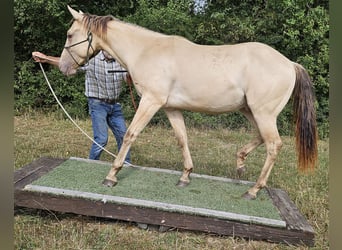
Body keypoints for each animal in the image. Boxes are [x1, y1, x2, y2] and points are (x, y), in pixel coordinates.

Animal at [58, 5, 318, 199]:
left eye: (70, 34)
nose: (63, 68)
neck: (146, 51)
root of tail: (290, 64)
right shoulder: (171, 108)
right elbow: (182, 139)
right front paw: (185, 176)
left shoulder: (151, 102)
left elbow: (130, 134)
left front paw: (111, 175)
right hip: (251, 111)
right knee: (262, 138)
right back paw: (240, 163)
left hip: (263, 113)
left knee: (273, 144)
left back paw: (253, 190)